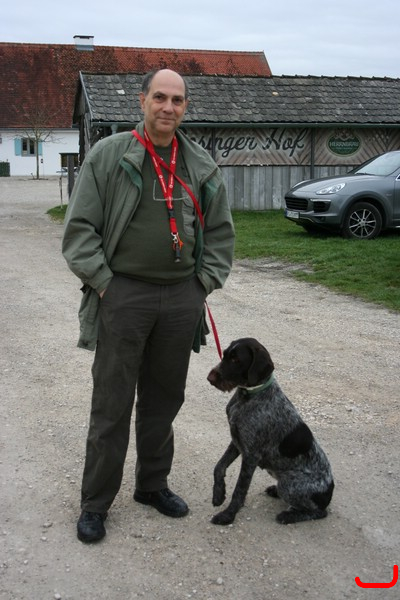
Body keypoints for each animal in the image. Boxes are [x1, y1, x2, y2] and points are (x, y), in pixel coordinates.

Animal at [207, 337, 334, 525]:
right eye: (225, 354)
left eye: (236, 360)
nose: (210, 378)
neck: (248, 396)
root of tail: (329, 492)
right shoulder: (237, 441)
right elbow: (219, 466)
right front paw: (218, 494)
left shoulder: (251, 455)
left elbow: (239, 490)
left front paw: (228, 515)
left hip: (290, 485)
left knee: (319, 512)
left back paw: (288, 516)